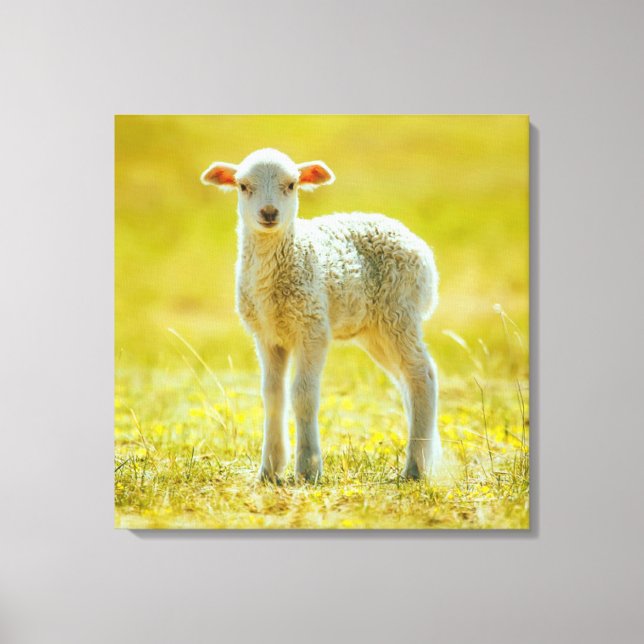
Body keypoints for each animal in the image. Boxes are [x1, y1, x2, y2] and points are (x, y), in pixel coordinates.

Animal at [201, 148, 442, 482]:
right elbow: (272, 396)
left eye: (292, 185)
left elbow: (302, 395)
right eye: (243, 186)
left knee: (422, 375)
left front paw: (308, 468)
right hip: (375, 330)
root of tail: (419, 246)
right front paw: (270, 469)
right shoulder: (266, 335)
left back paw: (415, 468)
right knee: (406, 379)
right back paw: (426, 456)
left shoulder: (312, 327)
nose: (269, 213)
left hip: (399, 312)